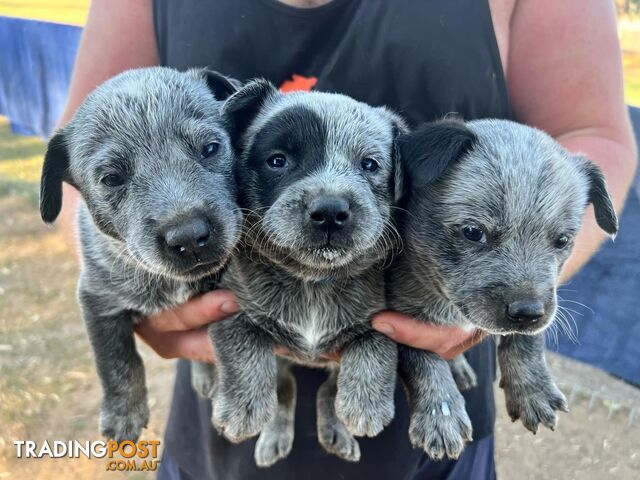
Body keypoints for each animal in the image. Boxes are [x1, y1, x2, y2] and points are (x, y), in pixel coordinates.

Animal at [38, 66, 242, 442]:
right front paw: (123, 414)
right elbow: (116, 360)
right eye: (111, 178)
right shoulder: (98, 301)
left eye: (210, 148)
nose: (189, 237)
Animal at [388, 118, 616, 460]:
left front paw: (532, 389)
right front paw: (440, 414)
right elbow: (422, 358)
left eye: (562, 240)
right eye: (473, 232)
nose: (528, 312)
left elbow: (527, 337)